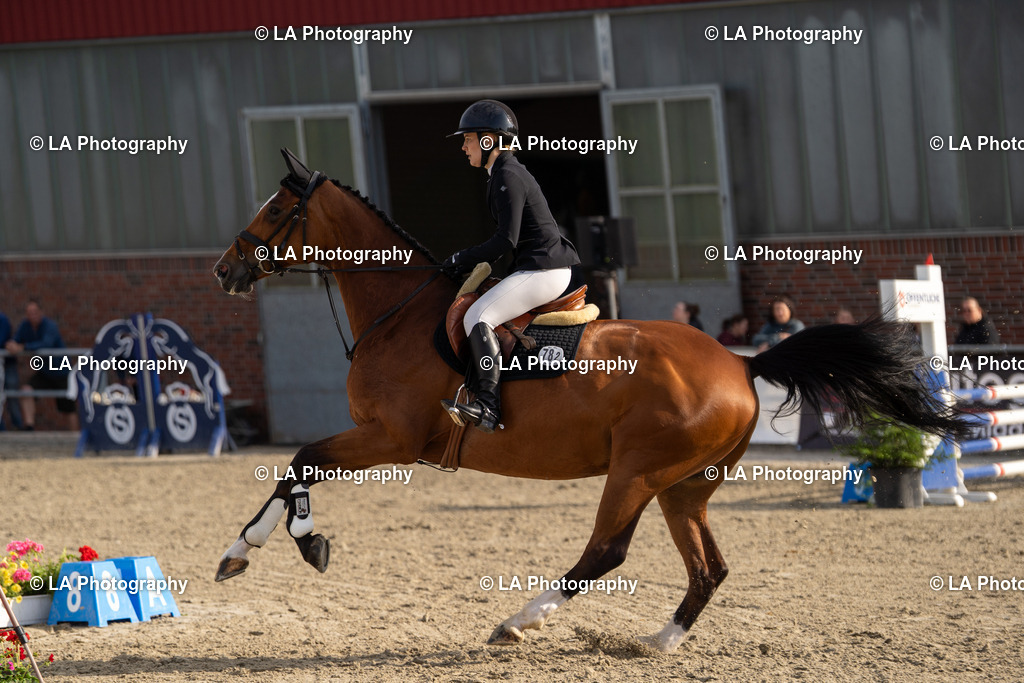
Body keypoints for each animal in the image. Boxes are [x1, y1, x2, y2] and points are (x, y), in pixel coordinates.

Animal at [212, 149, 968, 652]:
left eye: (275, 210)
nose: (226, 269)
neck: (397, 313)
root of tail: (741, 362)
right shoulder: (380, 439)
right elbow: (295, 468)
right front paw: (247, 551)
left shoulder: (392, 439)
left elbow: (301, 462)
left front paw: (291, 543)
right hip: (683, 485)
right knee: (708, 566)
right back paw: (659, 640)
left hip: (635, 471)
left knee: (606, 551)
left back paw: (518, 621)